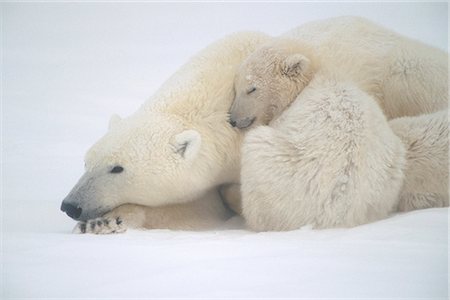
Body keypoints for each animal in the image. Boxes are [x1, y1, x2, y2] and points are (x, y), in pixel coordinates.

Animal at [62, 17, 446, 234]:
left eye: (117, 168)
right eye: (86, 162)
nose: (70, 205)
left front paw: (106, 220)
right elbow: (196, 207)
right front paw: (105, 221)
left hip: (406, 75)